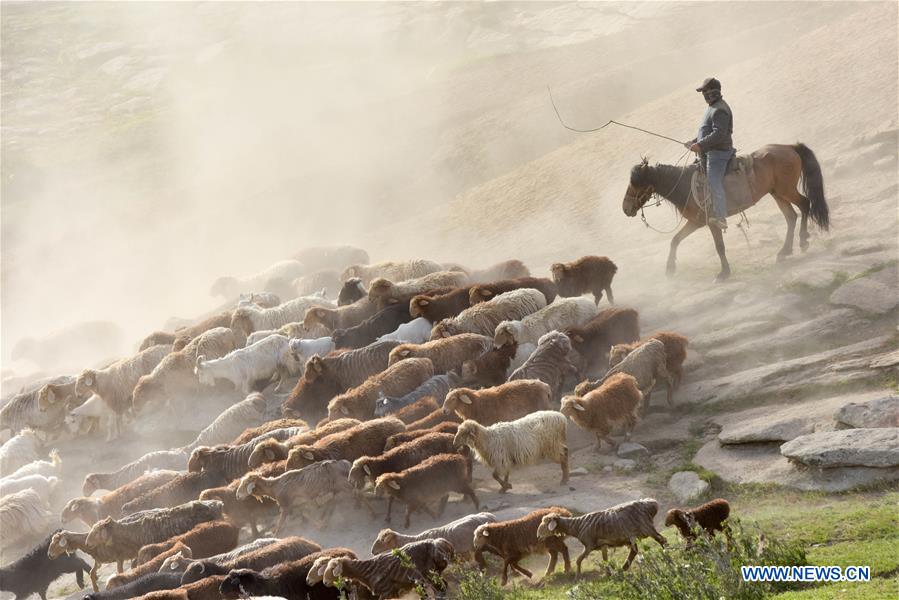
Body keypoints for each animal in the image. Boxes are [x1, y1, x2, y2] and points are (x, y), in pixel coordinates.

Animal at [624, 143, 828, 282]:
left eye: (636, 183)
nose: (625, 208)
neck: (684, 184)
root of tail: (789, 147)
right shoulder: (696, 222)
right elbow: (675, 240)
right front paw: (670, 268)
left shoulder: (712, 221)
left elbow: (719, 247)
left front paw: (723, 273)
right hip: (777, 193)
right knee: (791, 217)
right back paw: (784, 251)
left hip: (786, 190)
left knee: (804, 204)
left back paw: (803, 240)